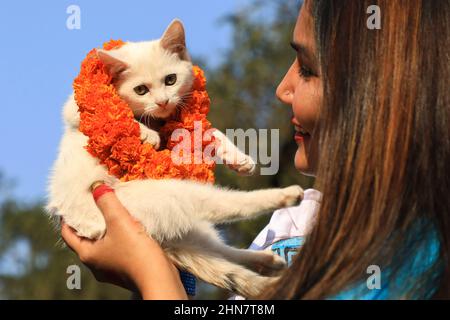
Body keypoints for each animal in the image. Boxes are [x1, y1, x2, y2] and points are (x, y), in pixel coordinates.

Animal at [47, 19, 304, 298]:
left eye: (171, 80)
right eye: (140, 89)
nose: (162, 102)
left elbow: (209, 133)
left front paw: (238, 158)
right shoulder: (74, 111)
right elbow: (120, 120)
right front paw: (146, 133)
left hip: (188, 226)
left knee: (218, 251)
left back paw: (266, 261)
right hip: (165, 195)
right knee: (224, 206)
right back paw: (287, 196)